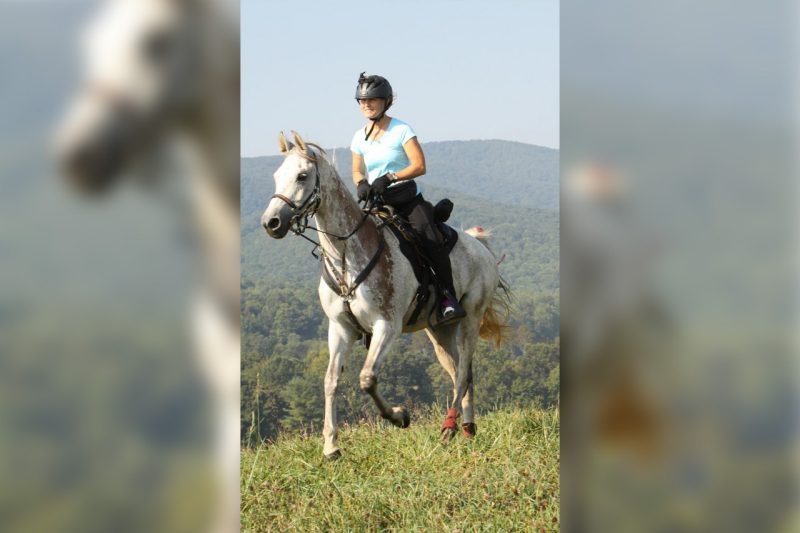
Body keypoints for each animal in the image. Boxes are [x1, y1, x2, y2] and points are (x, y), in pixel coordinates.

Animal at [262, 132, 512, 458]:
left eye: (302, 176)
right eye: (277, 176)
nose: (271, 223)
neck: (346, 257)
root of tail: (479, 243)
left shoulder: (386, 326)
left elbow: (367, 378)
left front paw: (399, 416)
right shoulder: (340, 328)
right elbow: (331, 380)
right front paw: (331, 445)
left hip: (470, 318)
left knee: (462, 374)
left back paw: (449, 427)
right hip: (439, 331)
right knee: (461, 371)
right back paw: (467, 428)